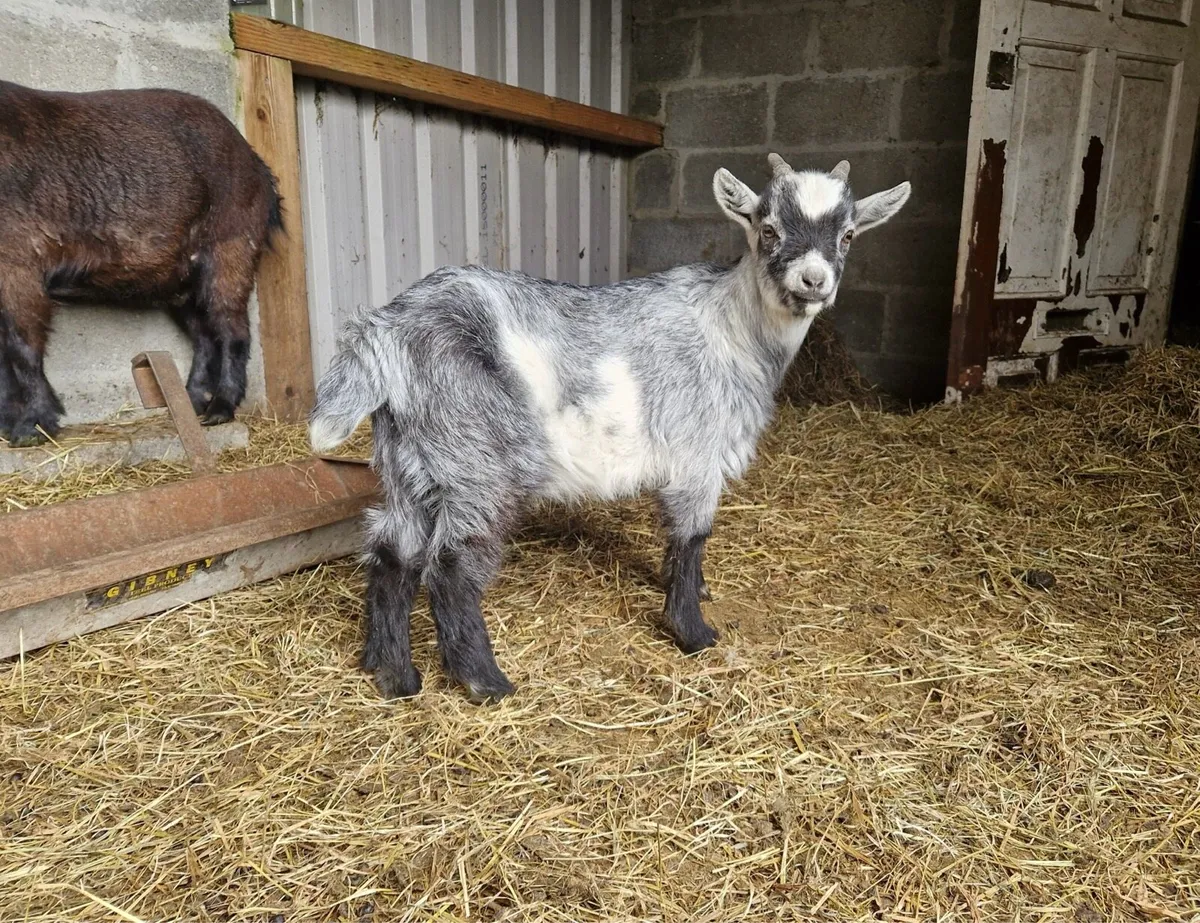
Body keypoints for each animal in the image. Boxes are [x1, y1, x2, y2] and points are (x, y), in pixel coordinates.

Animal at [0, 79, 282, 445]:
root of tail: (259, 168)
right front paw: (10, 424)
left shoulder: (19, 262)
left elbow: (21, 347)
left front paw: (31, 428)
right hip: (182, 283)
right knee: (203, 335)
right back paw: (191, 401)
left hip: (230, 249)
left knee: (232, 330)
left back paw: (220, 409)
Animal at [309, 153, 911, 703]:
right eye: (769, 229)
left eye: (849, 235)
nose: (814, 280)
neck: (734, 330)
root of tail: (388, 332)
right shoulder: (697, 456)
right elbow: (692, 537)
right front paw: (692, 633)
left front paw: (695, 594)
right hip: (476, 458)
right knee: (452, 564)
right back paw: (485, 683)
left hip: (412, 458)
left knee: (392, 551)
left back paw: (393, 676)